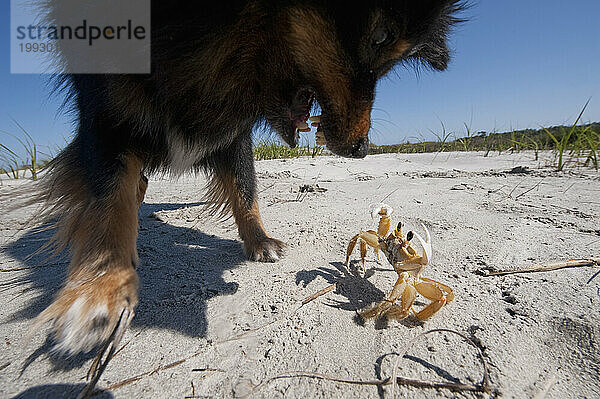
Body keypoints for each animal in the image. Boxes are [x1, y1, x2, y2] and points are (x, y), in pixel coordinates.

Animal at [34, 0, 464, 356]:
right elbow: (108, 208)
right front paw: (100, 290)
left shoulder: (235, 133)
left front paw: (260, 241)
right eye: (380, 37)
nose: (361, 149)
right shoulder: (104, 115)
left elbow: (245, 190)